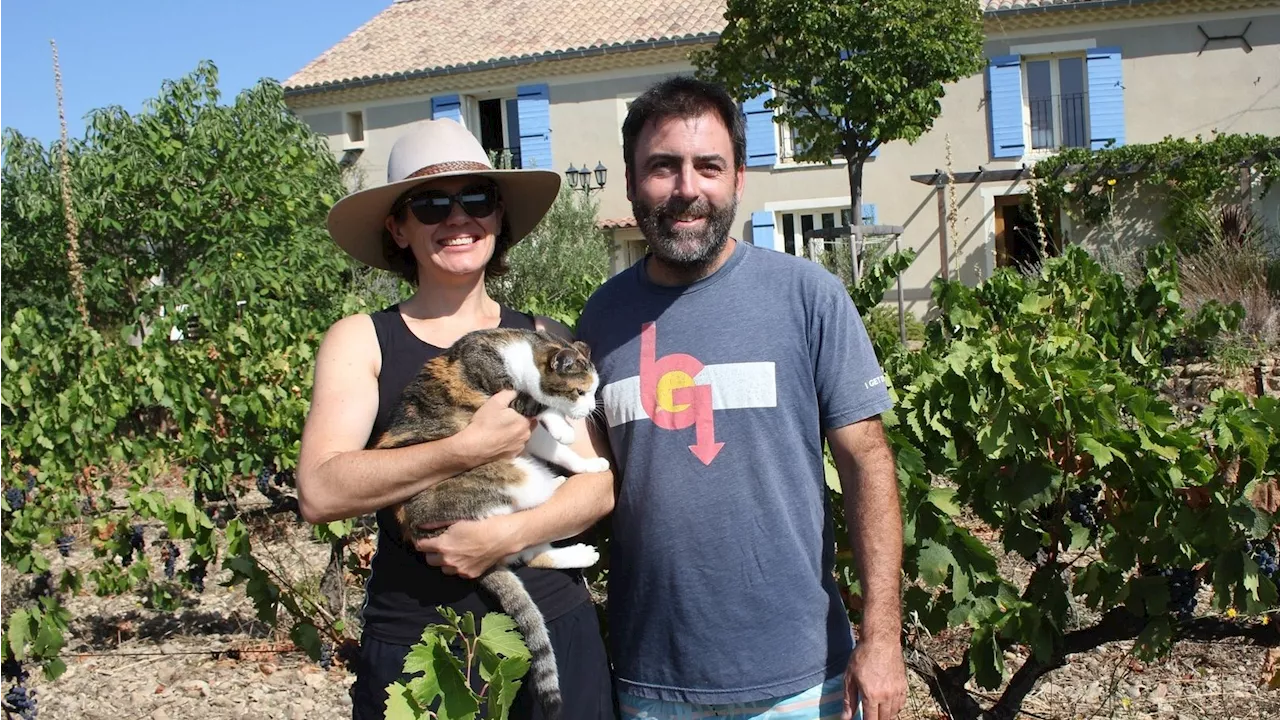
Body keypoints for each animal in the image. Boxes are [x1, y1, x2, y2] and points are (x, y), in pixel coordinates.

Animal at [371, 326, 609, 717]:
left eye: (593, 391)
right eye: (579, 391)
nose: (589, 409)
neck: (520, 352)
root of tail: (415, 527)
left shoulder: (525, 426)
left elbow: (557, 446)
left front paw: (587, 463)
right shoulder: (505, 402)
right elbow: (540, 406)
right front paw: (564, 429)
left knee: (528, 546)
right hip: (510, 476)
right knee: (525, 538)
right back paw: (563, 505)